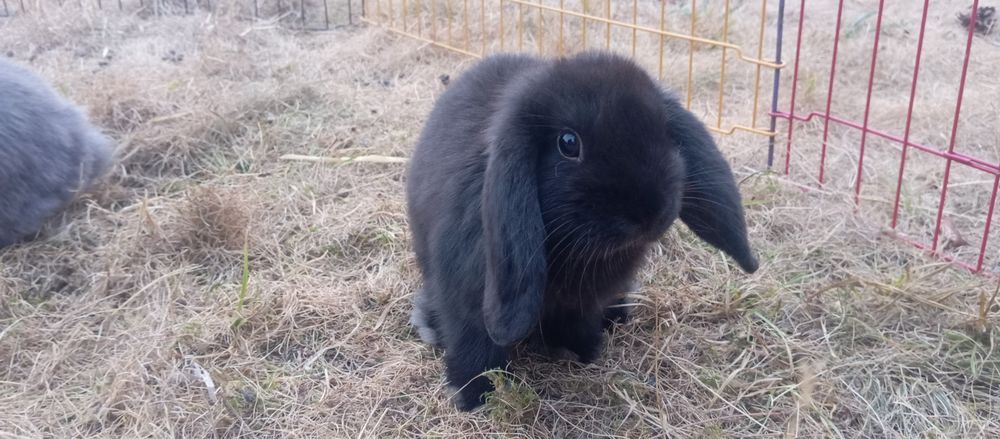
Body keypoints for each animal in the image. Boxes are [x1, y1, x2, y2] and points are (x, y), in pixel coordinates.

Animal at [405, 50, 759, 411]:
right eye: (568, 143)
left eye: (663, 128)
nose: (650, 215)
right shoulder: (466, 301)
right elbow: (475, 346)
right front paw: (475, 396)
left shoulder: (582, 302)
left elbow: (576, 323)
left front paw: (579, 351)